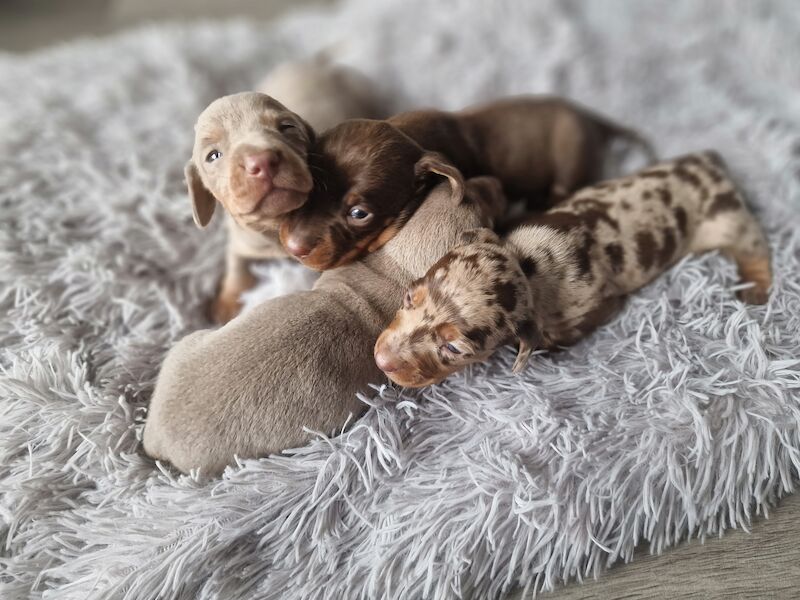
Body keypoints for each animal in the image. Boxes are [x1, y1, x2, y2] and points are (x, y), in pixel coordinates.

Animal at [186, 59, 382, 324]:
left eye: (287, 127)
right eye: (213, 156)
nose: (262, 161)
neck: (277, 226)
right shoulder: (242, 238)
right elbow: (236, 263)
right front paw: (227, 302)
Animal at [278, 97, 652, 270]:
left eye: (359, 214)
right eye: (310, 188)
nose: (293, 248)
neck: (415, 136)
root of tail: (590, 119)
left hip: (570, 161)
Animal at [376, 152, 776, 386]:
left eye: (453, 348)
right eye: (410, 296)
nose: (381, 361)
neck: (530, 264)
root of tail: (707, 163)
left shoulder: (597, 307)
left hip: (727, 220)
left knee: (756, 249)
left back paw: (756, 287)